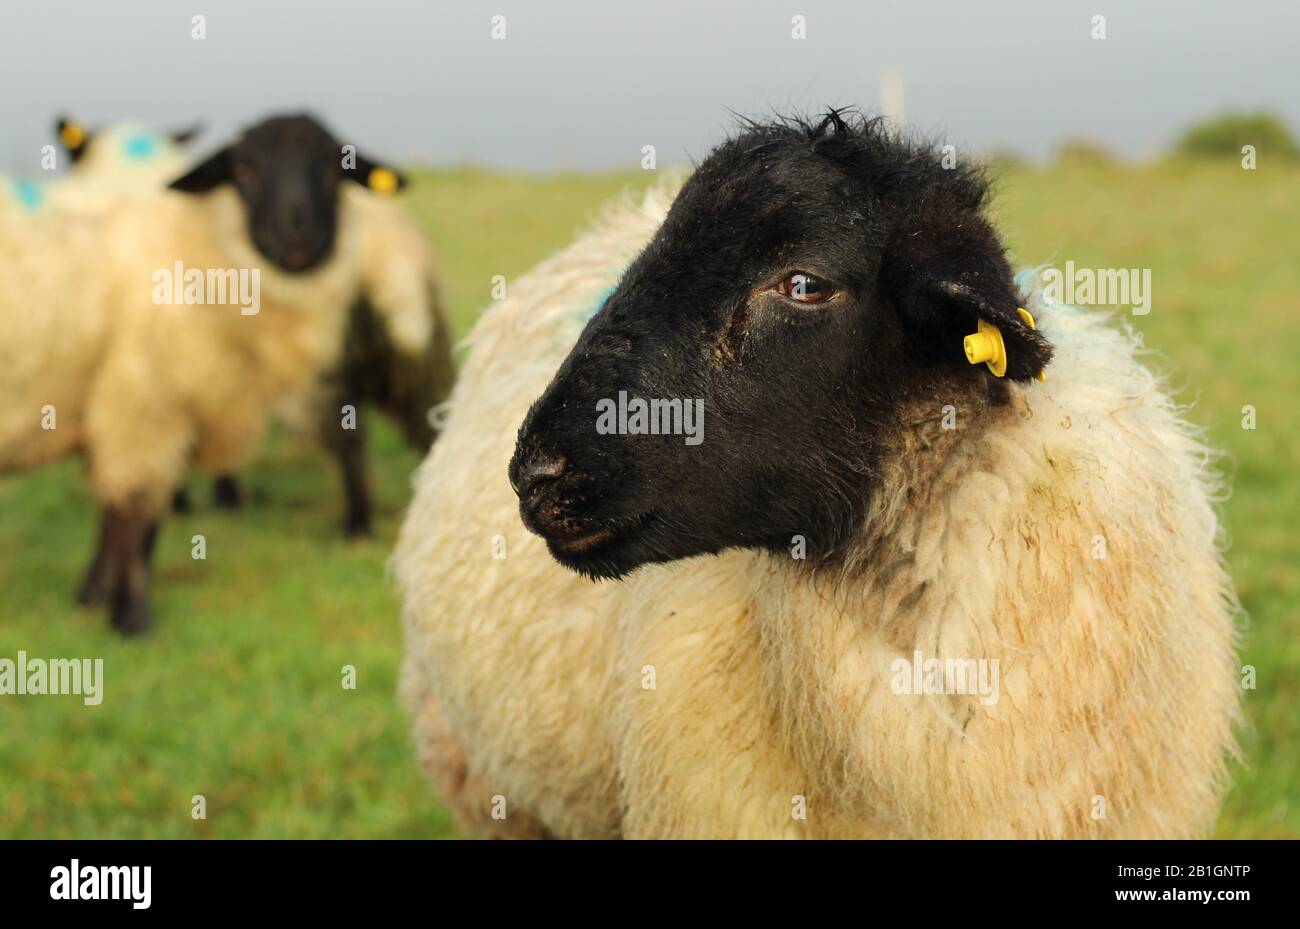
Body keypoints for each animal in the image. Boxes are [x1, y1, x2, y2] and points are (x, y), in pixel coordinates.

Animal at [0, 113, 407, 635]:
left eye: (334, 170)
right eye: (245, 170)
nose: (297, 234)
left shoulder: (114, 406)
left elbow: (119, 513)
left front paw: (92, 597)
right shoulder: (144, 400)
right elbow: (136, 513)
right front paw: (132, 619)